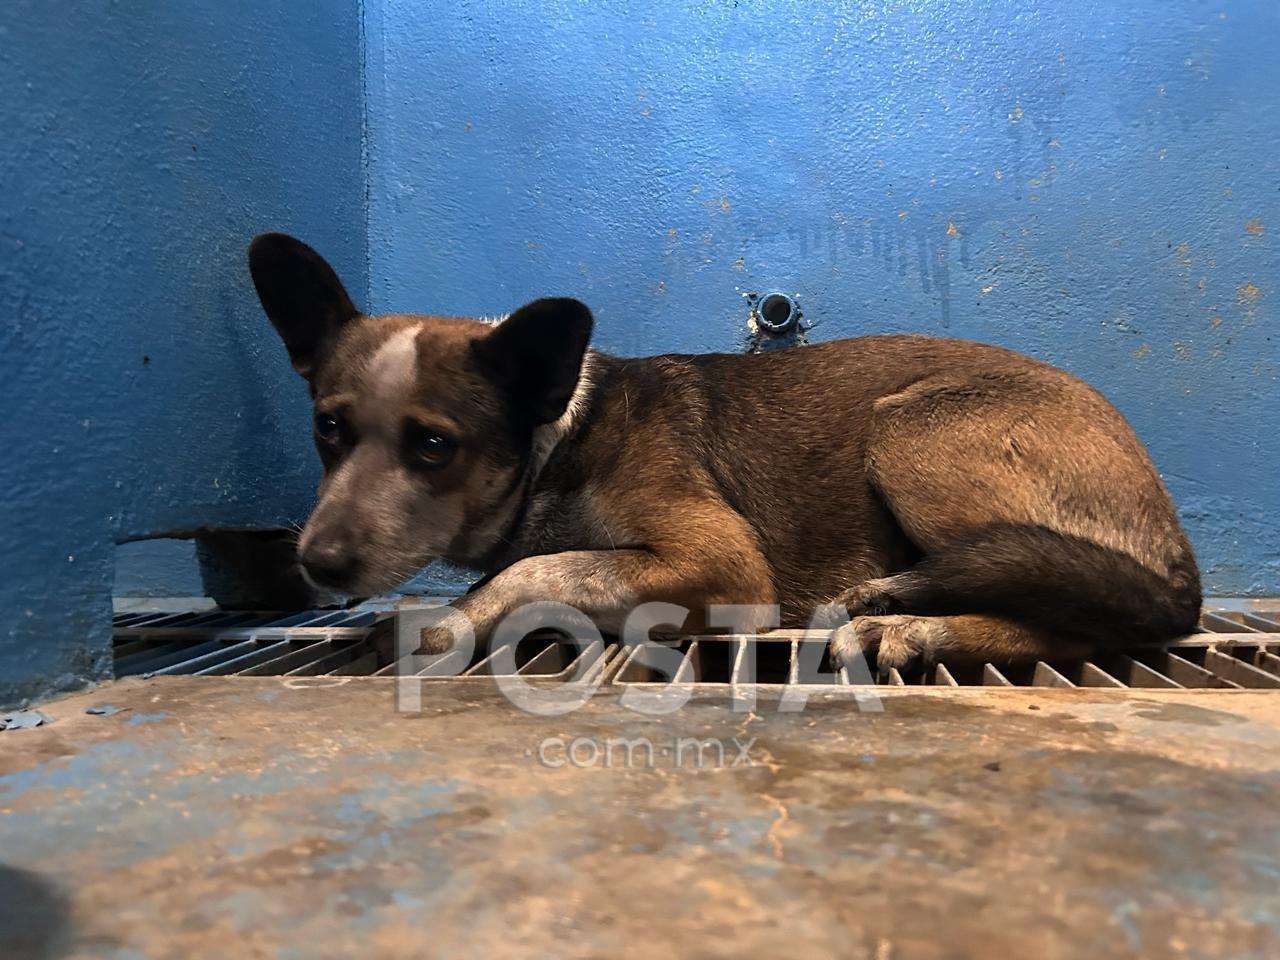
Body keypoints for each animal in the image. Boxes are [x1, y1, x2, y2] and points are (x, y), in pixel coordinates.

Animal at [247, 231, 1198, 675]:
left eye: (434, 446)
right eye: (328, 427)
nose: (317, 564)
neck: (561, 441)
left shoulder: (722, 562)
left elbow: (531, 571)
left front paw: (450, 620)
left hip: (908, 428)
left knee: (1082, 619)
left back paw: (914, 625)